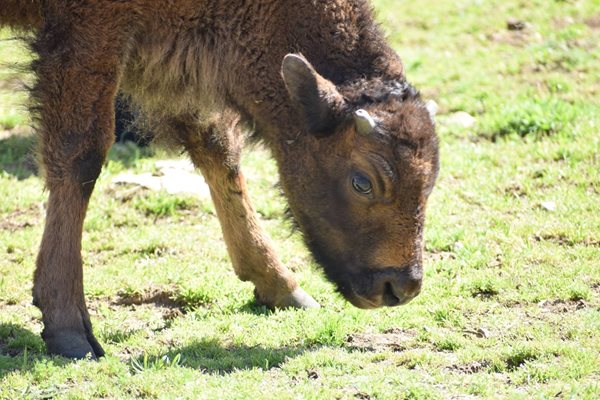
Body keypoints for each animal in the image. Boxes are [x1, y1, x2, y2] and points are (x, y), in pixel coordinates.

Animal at [1, 0, 440, 356]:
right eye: (362, 181)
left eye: (430, 182)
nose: (400, 287)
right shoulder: (90, 31)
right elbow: (81, 155)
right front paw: (69, 330)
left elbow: (217, 149)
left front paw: (283, 287)